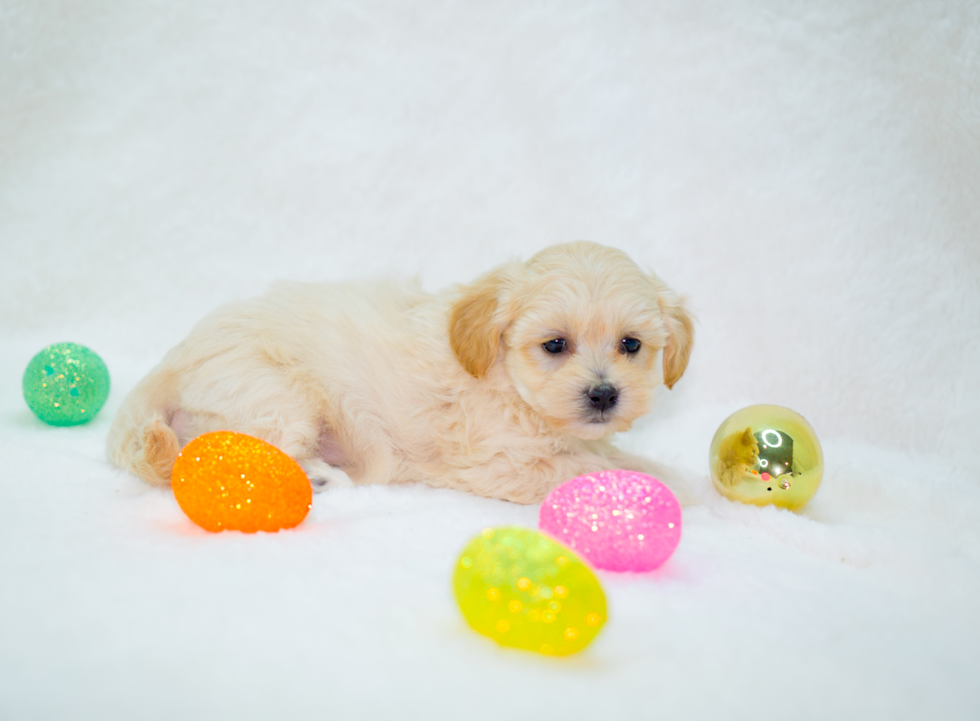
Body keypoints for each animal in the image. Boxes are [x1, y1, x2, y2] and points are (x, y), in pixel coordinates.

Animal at [107, 240, 692, 500]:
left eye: (631, 344)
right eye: (555, 345)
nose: (604, 395)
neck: (506, 384)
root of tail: (175, 357)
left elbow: (615, 455)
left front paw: (668, 475)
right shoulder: (500, 462)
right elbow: (588, 468)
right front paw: (673, 494)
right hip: (278, 398)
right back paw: (318, 475)